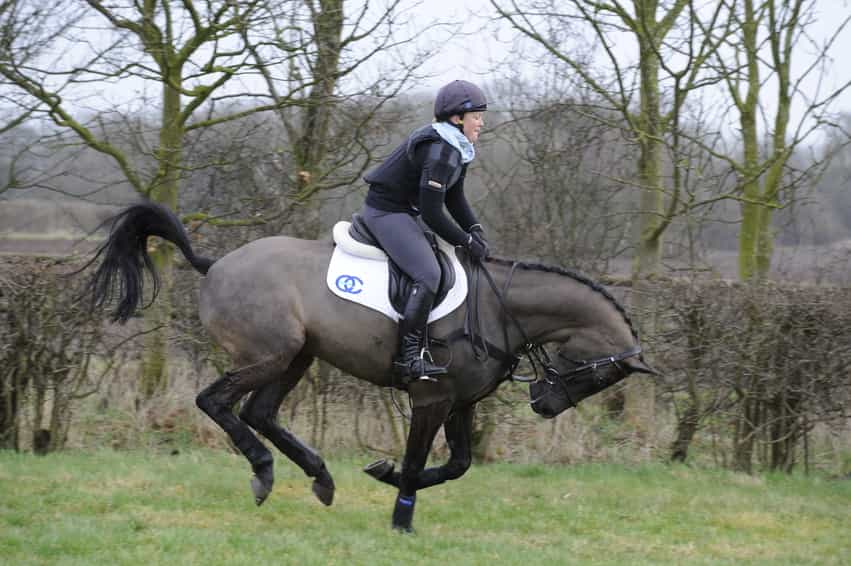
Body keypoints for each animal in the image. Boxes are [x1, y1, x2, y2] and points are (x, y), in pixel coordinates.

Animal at [83, 202, 656, 536]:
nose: (544, 406)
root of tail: (215, 264)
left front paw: (386, 475)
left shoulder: (461, 403)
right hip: (272, 354)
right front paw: (401, 517)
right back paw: (264, 472)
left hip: (297, 356)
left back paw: (319, 477)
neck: (499, 308)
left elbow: (457, 464)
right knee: (217, 401)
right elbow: (422, 457)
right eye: (598, 376)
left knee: (260, 412)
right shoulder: (431, 398)